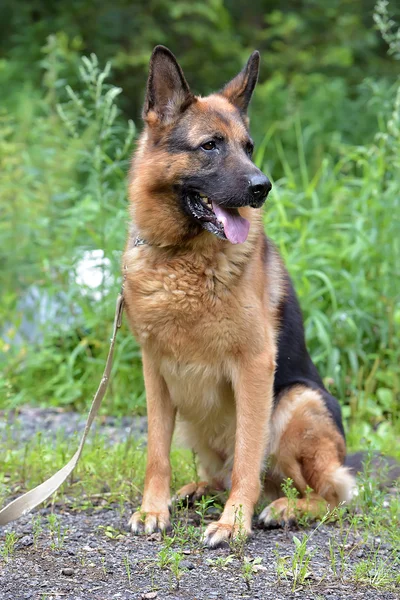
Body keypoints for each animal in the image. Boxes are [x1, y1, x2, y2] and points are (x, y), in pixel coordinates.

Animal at [123, 44, 354, 548]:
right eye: (210, 145)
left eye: (248, 147)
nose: (262, 187)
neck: (182, 259)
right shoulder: (154, 370)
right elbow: (155, 452)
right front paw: (152, 509)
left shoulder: (254, 366)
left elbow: (249, 453)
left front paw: (234, 523)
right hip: (194, 419)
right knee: (220, 474)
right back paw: (194, 491)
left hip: (295, 404)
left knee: (327, 495)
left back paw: (284, 508)